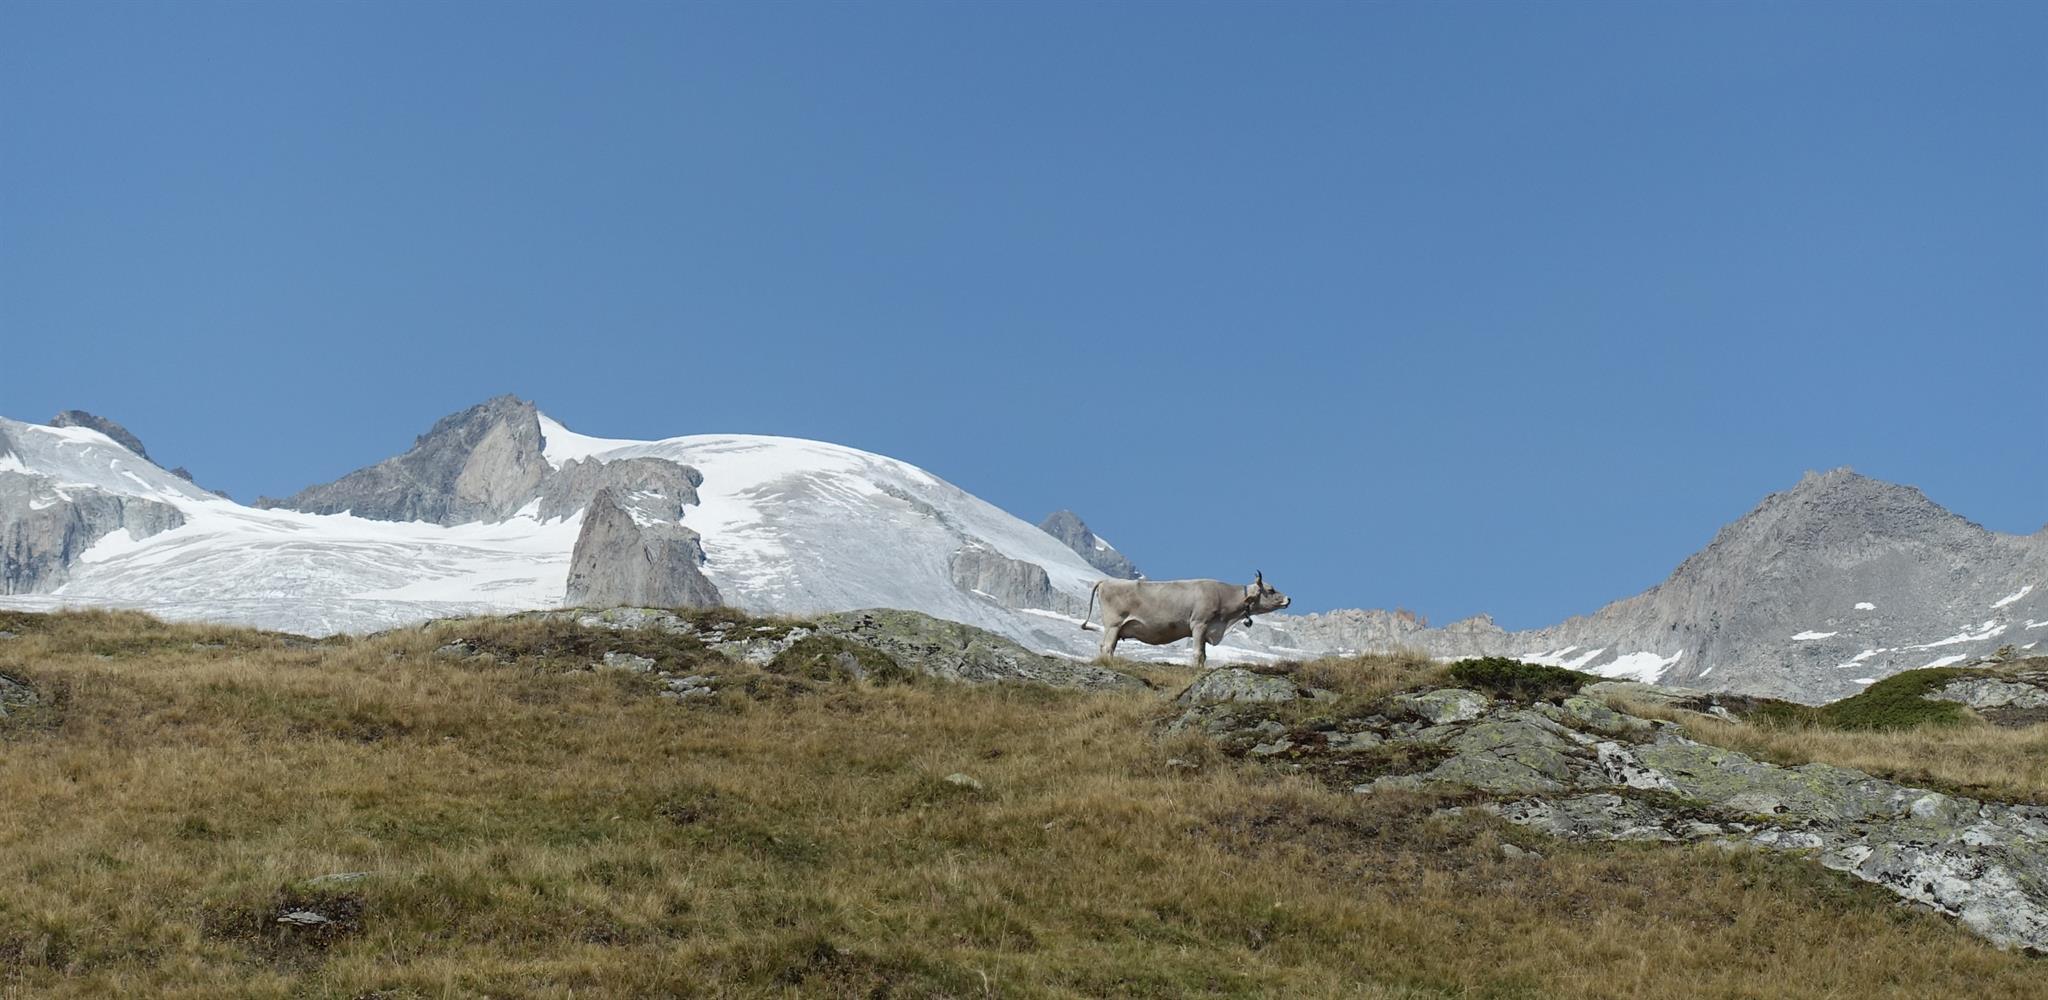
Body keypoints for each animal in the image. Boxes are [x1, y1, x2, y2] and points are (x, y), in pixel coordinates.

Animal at [1081, 572, 1291, 667]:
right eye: (1271, 590)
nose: (1289, 599)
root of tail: (1107, 581)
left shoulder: (1207, 629)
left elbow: (1204, 655)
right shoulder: (1199, 624)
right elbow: (1197, 653)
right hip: (1113, 624)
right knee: (1107, 647)